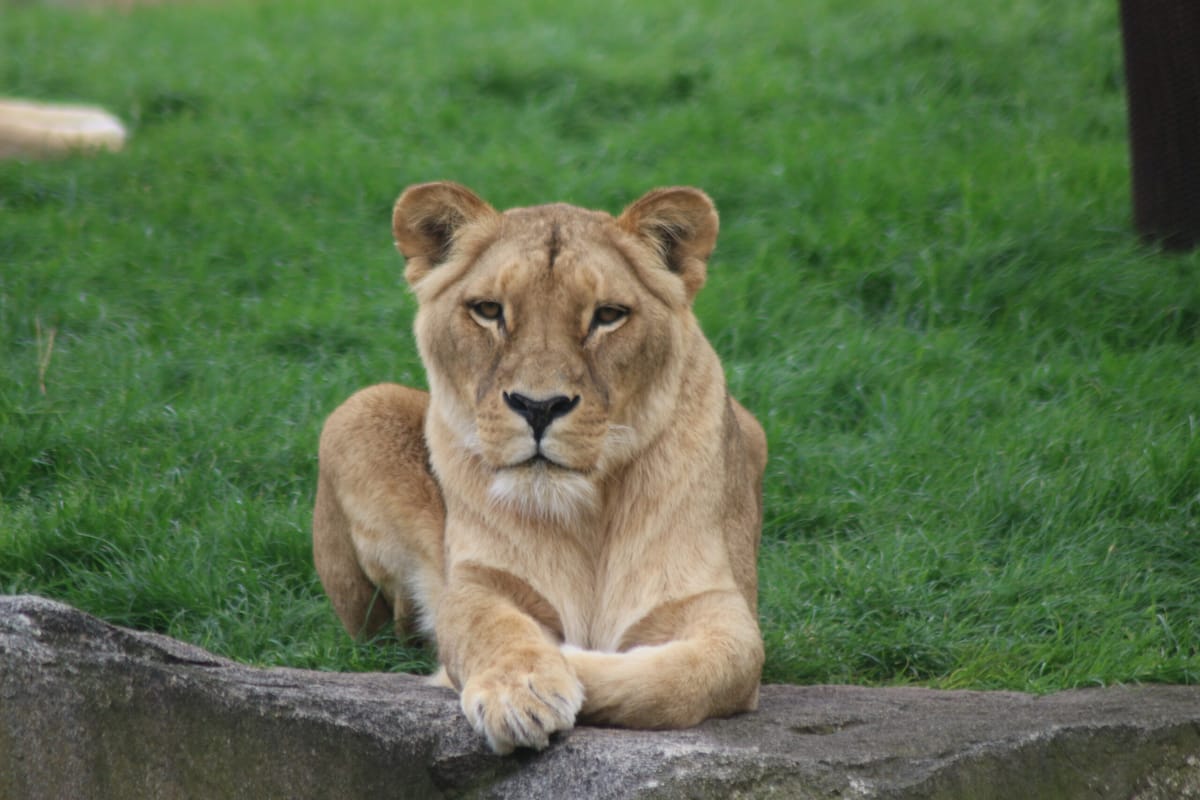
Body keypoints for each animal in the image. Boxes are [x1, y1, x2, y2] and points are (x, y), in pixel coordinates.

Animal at [312, 181, 767, 754]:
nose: (539, 406)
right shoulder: (477, 580)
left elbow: (694, 674)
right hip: (359, 411)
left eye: (608, 315)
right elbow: (488, 626)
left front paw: (567, 661)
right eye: (488, 310)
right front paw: (519, 691)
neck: (585, 515)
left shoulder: (721, 605)